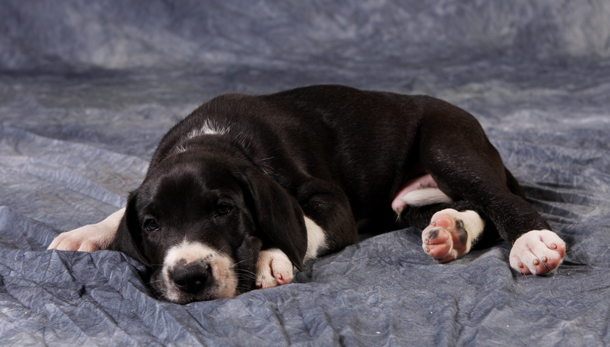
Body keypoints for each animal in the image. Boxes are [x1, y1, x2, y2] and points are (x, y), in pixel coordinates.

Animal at [47, 85, 564, 304]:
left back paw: (531, 242)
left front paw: (271, 256)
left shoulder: (332, 205)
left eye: (224, 209)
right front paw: (87, 233)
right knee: (466, 207)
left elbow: (302, 225)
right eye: (152, 225)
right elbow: (120, 212)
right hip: (403, 206)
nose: (190, 276)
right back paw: (450, 231)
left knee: (502, 201)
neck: (213, 139)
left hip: (448, 145)